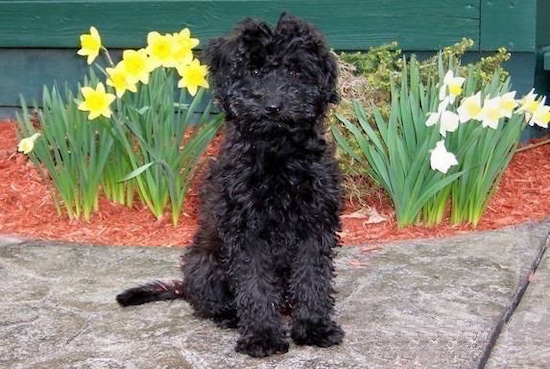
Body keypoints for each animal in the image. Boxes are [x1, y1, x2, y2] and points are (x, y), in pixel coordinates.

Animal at [117, 14, 344, 356]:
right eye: (255, 70)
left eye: (295, 71)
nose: (274, 106)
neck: (276, 153)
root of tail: (185, 286)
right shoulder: (245, 230)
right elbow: (254, 284)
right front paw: (262, 336)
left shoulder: (315, 223)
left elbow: (311, 276)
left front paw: (314, 327)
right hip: (204, 263)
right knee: (209, 303)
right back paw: (230, 317)